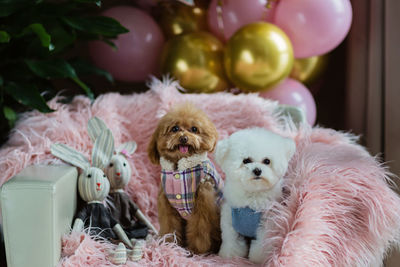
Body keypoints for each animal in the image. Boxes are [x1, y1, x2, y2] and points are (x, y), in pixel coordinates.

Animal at [214, 127, 296, 264]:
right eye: (246, 160)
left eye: (267, 161)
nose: (257, 170)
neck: (253, 196)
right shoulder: (230, 221)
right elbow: (232, 241)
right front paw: (230, 257)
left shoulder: (267, 222)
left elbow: (261, 243)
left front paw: (259, 259)